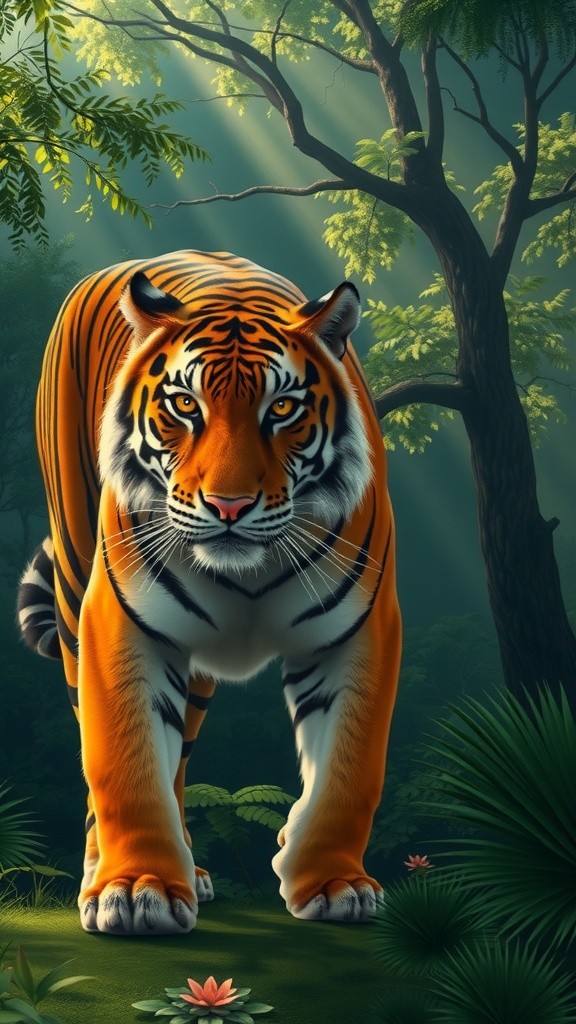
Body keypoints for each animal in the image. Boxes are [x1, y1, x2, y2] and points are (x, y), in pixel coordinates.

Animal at [17, 249, 401, 936]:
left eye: (282, 409)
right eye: (184, 405)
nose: (228, 506)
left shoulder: (360, 631)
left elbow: (350, 770)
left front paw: (333, 883)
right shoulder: (122, 624)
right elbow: (125, 759)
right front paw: (136, 889)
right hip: (74, 583)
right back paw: (109, 872)